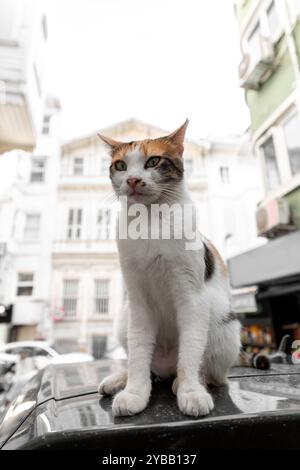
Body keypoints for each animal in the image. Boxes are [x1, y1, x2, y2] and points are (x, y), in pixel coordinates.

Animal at [97, 120, 240, 414]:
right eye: (121, 165)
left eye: (153, 161)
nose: (132, 180)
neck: (150, 221)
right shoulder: (138, 299)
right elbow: (138, 352)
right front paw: (135, 392)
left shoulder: (192, 298)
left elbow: (191, 351)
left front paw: (191, 391)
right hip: (124, 319)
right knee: (143, 363)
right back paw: (120, 380)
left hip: (227, 328)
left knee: (211, 372)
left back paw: (189, 383)